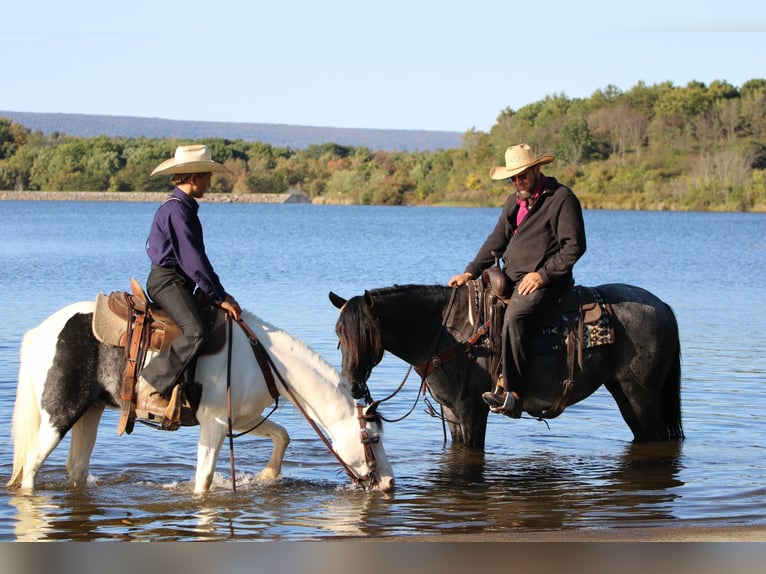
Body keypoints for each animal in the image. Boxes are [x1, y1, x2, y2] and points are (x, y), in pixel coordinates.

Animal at [7, 300, 395, 494]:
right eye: (373, 439)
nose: (390, 484)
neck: (262, 357)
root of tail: (40, 332)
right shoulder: (215, 422)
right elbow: (204, 479)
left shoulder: (241, 419)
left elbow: (281, 435)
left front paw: (267, 475)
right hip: (60, 414)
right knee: (31, 466)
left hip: (90, 412)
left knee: (76, 468)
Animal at [329, 283, 683, 449]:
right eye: (338, 332)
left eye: (370, 336)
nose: (353, 386)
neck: (447, 332)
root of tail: (664, 307)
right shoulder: (452, 412)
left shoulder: (472, 409)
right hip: (624, 395)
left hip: (641, 396)